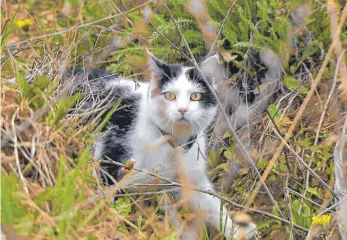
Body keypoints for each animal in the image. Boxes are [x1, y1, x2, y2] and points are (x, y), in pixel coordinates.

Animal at [66, 51, 256, 239]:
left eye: (195, 96)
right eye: (169, 95)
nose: (182, 110)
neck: (173, 143)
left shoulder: (190, 178)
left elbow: (213, 205)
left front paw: (237, 230)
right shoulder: (110, 161)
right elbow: (103, 202)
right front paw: (102, 228)